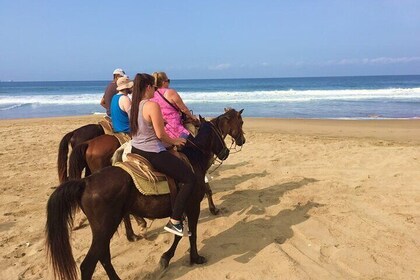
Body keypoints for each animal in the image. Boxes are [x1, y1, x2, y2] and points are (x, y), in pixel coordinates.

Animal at [44, 109, 244, 280]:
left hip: (103, 229)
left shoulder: (182, 209)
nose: (227, 151)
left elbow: (180, 234)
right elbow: (190, 233)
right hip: (104, 228)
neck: (193, 157)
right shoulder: (192, 205)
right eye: (240, 122)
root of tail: (86, 183)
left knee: (104, 257)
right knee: (88, 265)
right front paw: (194, 258)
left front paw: (166, 257)